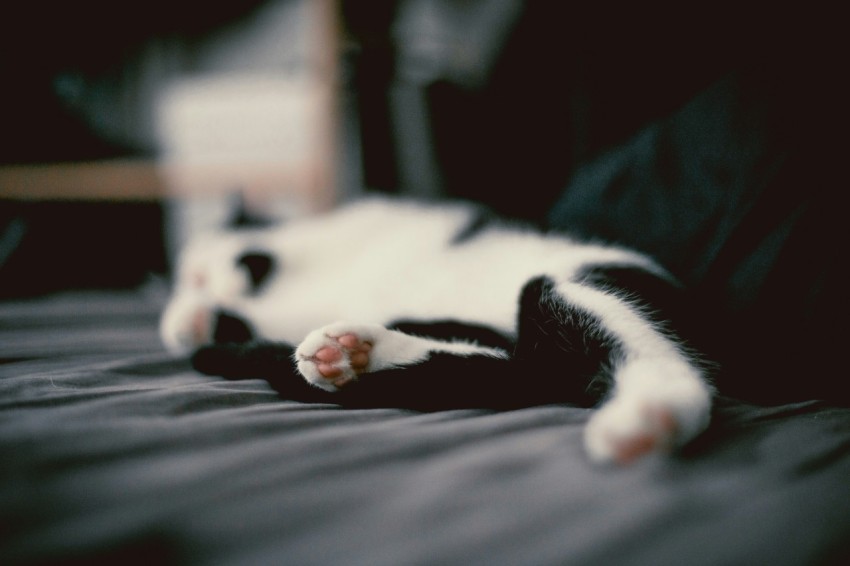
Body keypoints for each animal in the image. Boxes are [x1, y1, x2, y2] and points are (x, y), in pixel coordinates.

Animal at [157, 197, 708, 468]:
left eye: (195, 272)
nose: (191, 278)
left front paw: (187, 314)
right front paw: (194, 319)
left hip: (569, 284)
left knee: (649, 358)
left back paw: (649, 415)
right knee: (504, 366)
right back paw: (352, 354)